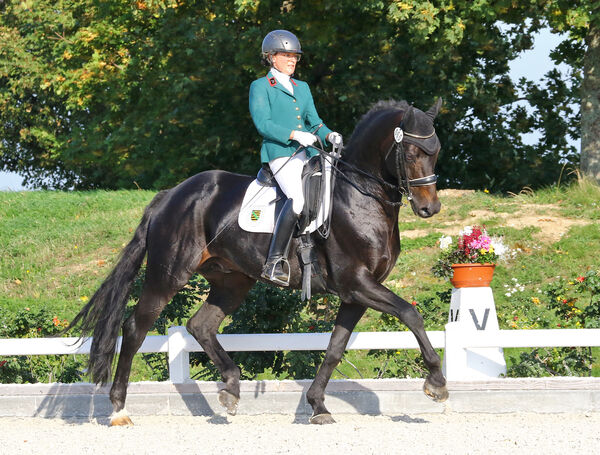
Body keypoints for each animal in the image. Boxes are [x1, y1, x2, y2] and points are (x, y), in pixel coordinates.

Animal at [69, 97, 446, 428]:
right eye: (411, 152)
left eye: (437, 150)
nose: (430, 208)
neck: (360, 195)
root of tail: (171, 195)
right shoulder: (356, 282)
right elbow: (410, 314)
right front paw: (437, 382)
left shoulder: (356, 294)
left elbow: (335, 348)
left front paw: (318, 406)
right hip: (169, 274)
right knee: (135, 328)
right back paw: (119, 410)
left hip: (232, 280)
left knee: (201, 325)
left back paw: (232, 389)